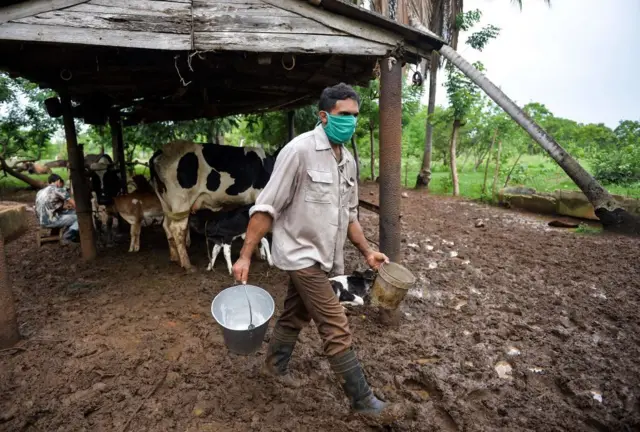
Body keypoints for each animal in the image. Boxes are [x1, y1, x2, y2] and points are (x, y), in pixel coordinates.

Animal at [151, 141, 282, 270]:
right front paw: (260, 255)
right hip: (181, 199)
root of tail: (161, 151)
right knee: (177, 228)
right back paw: (187, 264)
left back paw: (175, 258)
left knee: (166, 226)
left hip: (166, 203)